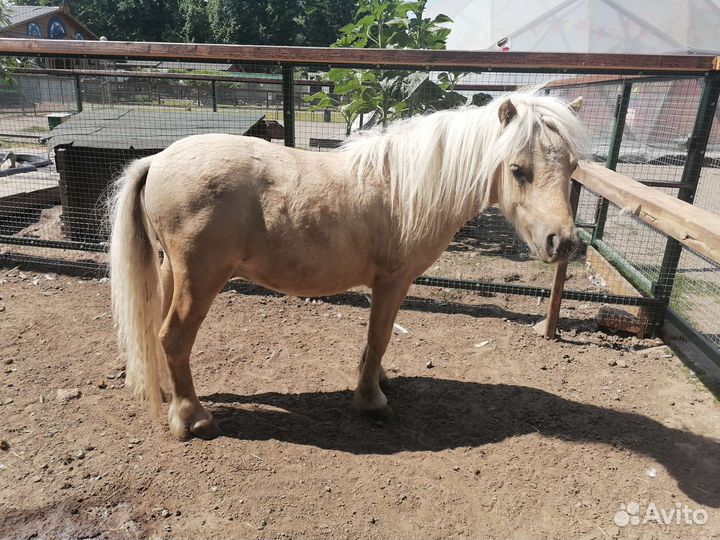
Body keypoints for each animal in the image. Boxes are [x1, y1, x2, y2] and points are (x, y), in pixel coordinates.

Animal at [109, 90, 587, 440]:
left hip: (173, 273)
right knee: (173, 337)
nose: (563, 242)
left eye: (572, 166)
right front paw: (371, 400)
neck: (405, 188)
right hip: (201, 280)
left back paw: (167, 394)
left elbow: (378, 342)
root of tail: (157, 160)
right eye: (518, 169)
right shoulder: (392, 281)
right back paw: (192, 418)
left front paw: (377, 381)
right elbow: (379, 338)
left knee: (159, 333)